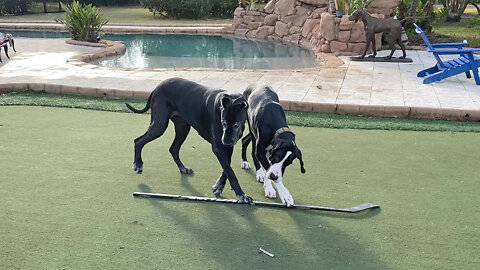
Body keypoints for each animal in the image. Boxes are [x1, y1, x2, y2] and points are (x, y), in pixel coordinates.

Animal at [125, 77, 253, 202]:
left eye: (236, 125)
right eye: (224, 123)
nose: (226, 141)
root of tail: (157, 87)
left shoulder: (228, 147)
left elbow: (227, 169)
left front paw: (219, 186)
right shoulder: (219, 147)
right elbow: (229, 170)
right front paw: (241, 194)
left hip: (183, 128)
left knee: (173, 149)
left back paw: (182, 168)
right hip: (159, 126)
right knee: (138, 141)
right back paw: (138, 164)